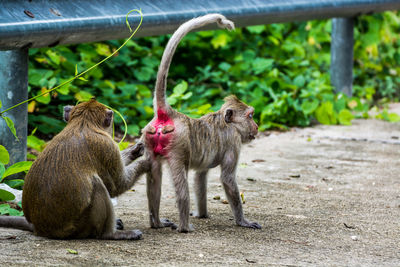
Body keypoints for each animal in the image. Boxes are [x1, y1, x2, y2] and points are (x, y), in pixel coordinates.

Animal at [0, 99, 150, 241]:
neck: (82, 123)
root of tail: (39, 228)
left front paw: (135, 151)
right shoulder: (107, 146)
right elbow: (117, 186)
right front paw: (146, 162)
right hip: (80, 227)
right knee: (97, 185)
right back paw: (109, 234)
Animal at [141, 13, 262, 233]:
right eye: (250, 116)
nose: (257, 126)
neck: (227, 122)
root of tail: (170, 113)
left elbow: (200, 176)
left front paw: (201, 214)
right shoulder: (233, 142)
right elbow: (227, 179)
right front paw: (243, 221)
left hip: (149, 139)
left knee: (154, 176)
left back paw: (157, 223)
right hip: (177, 147)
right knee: (181, 184)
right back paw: (184, 227)